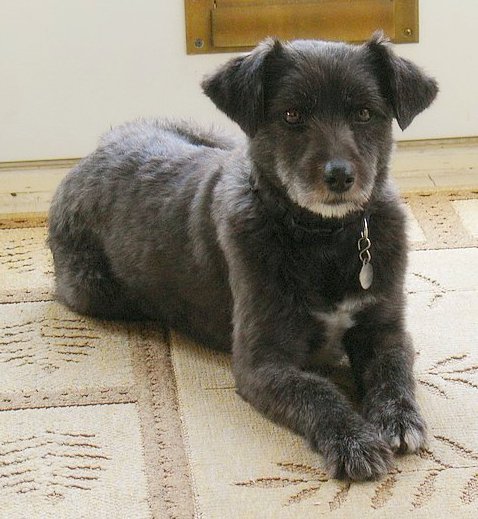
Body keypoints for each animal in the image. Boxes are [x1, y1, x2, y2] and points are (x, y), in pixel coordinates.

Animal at [48, 33, 436, 484]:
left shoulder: (385, 327)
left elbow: (395, 369)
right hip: (92, 291)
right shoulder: (262, 362)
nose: (339, 176)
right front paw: (353, 441)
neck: (322, 237)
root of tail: (96, 151)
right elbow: (316, 391)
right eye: (291, 114)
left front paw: (398, 418)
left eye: (364, 113)